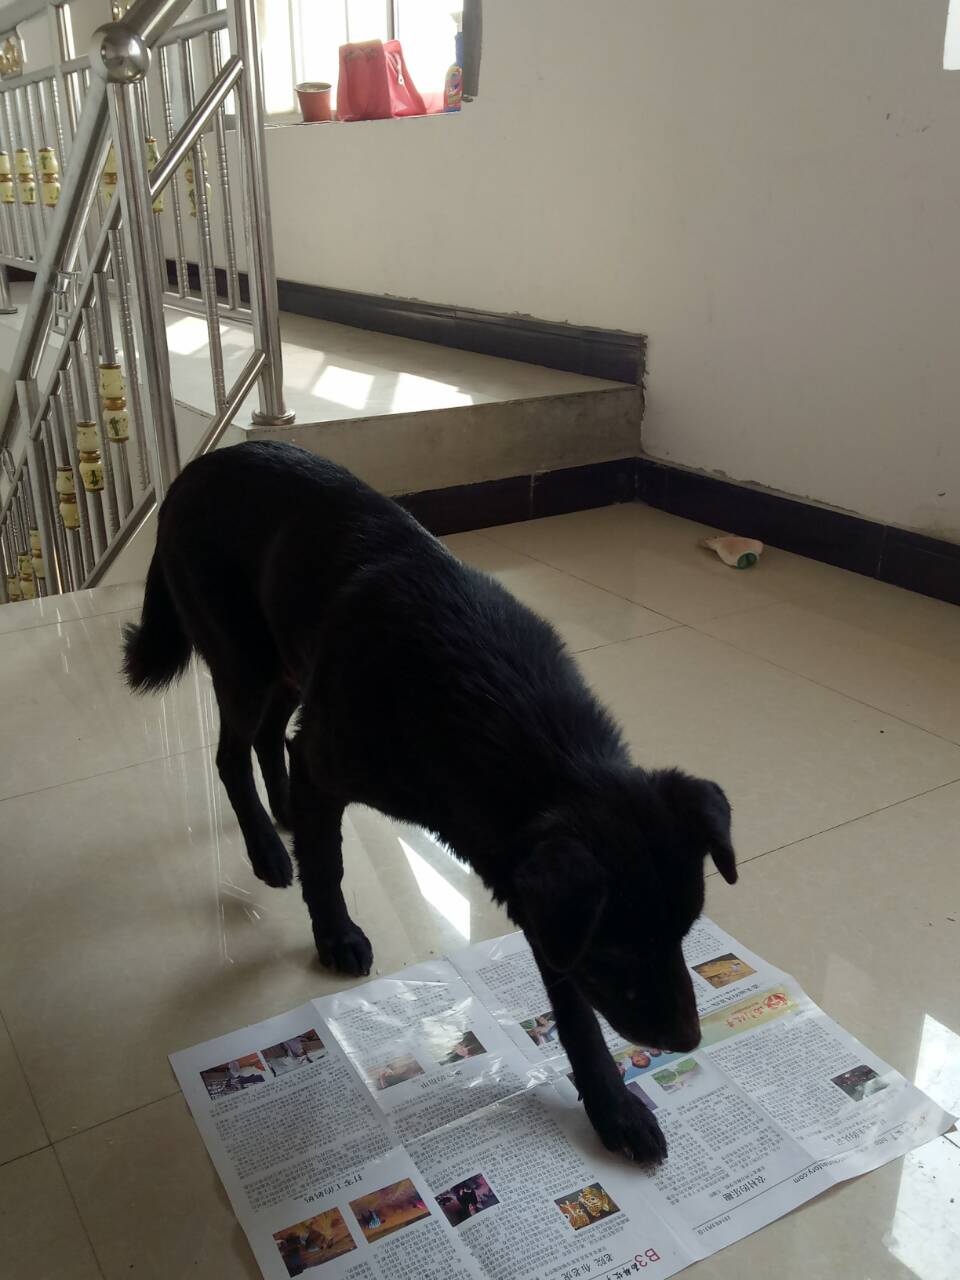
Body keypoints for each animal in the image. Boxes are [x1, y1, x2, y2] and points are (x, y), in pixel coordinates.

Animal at [123, 441, 737, 1164]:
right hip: (245, 662)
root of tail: (198, 467)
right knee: (231, 754)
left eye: (685, 932)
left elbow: (576, 1014)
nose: (690, 1040)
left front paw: (612, 1108)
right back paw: (270, 851)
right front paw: (335, 934)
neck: (521, 728)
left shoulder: (545, 907)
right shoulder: (331, 764)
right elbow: (327, 868)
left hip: (287, 664)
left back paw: (285, 818)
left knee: (271, 737)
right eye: (618, 950)